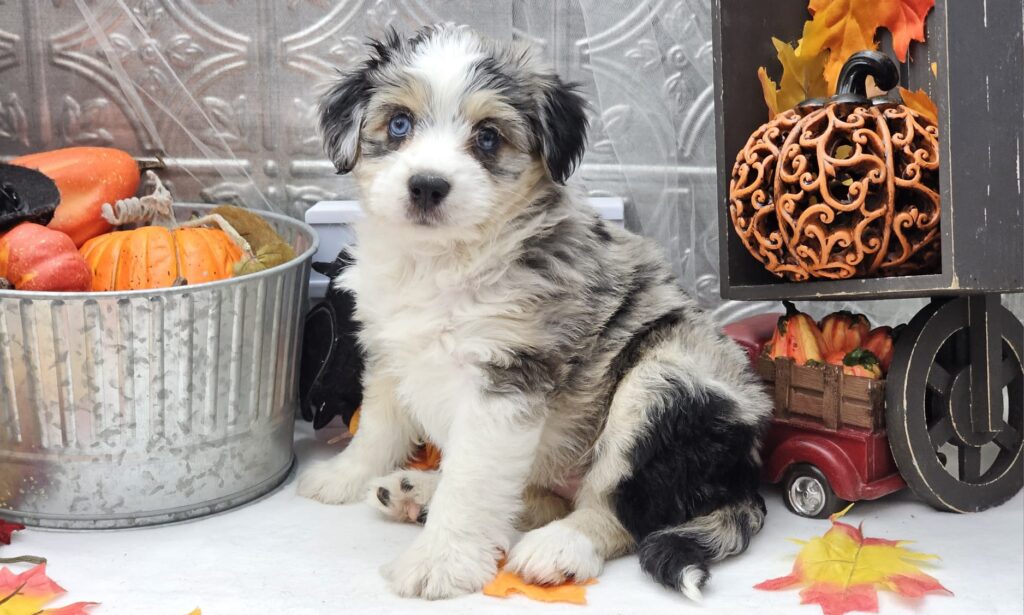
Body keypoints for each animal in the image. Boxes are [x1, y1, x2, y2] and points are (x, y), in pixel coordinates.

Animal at [296, 25, 770, 597]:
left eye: (487, 137)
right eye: (400, 123)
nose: (427, 185)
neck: (442, 262)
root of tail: (743, 477)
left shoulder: (506, 375)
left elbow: (472, 482)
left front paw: (440, 561)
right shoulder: (390, 351)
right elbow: (377, 427)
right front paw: (344, 476)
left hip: (665, 382)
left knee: (617, 508)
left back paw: (559, 546)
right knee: (539, 498)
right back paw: (418, 492)